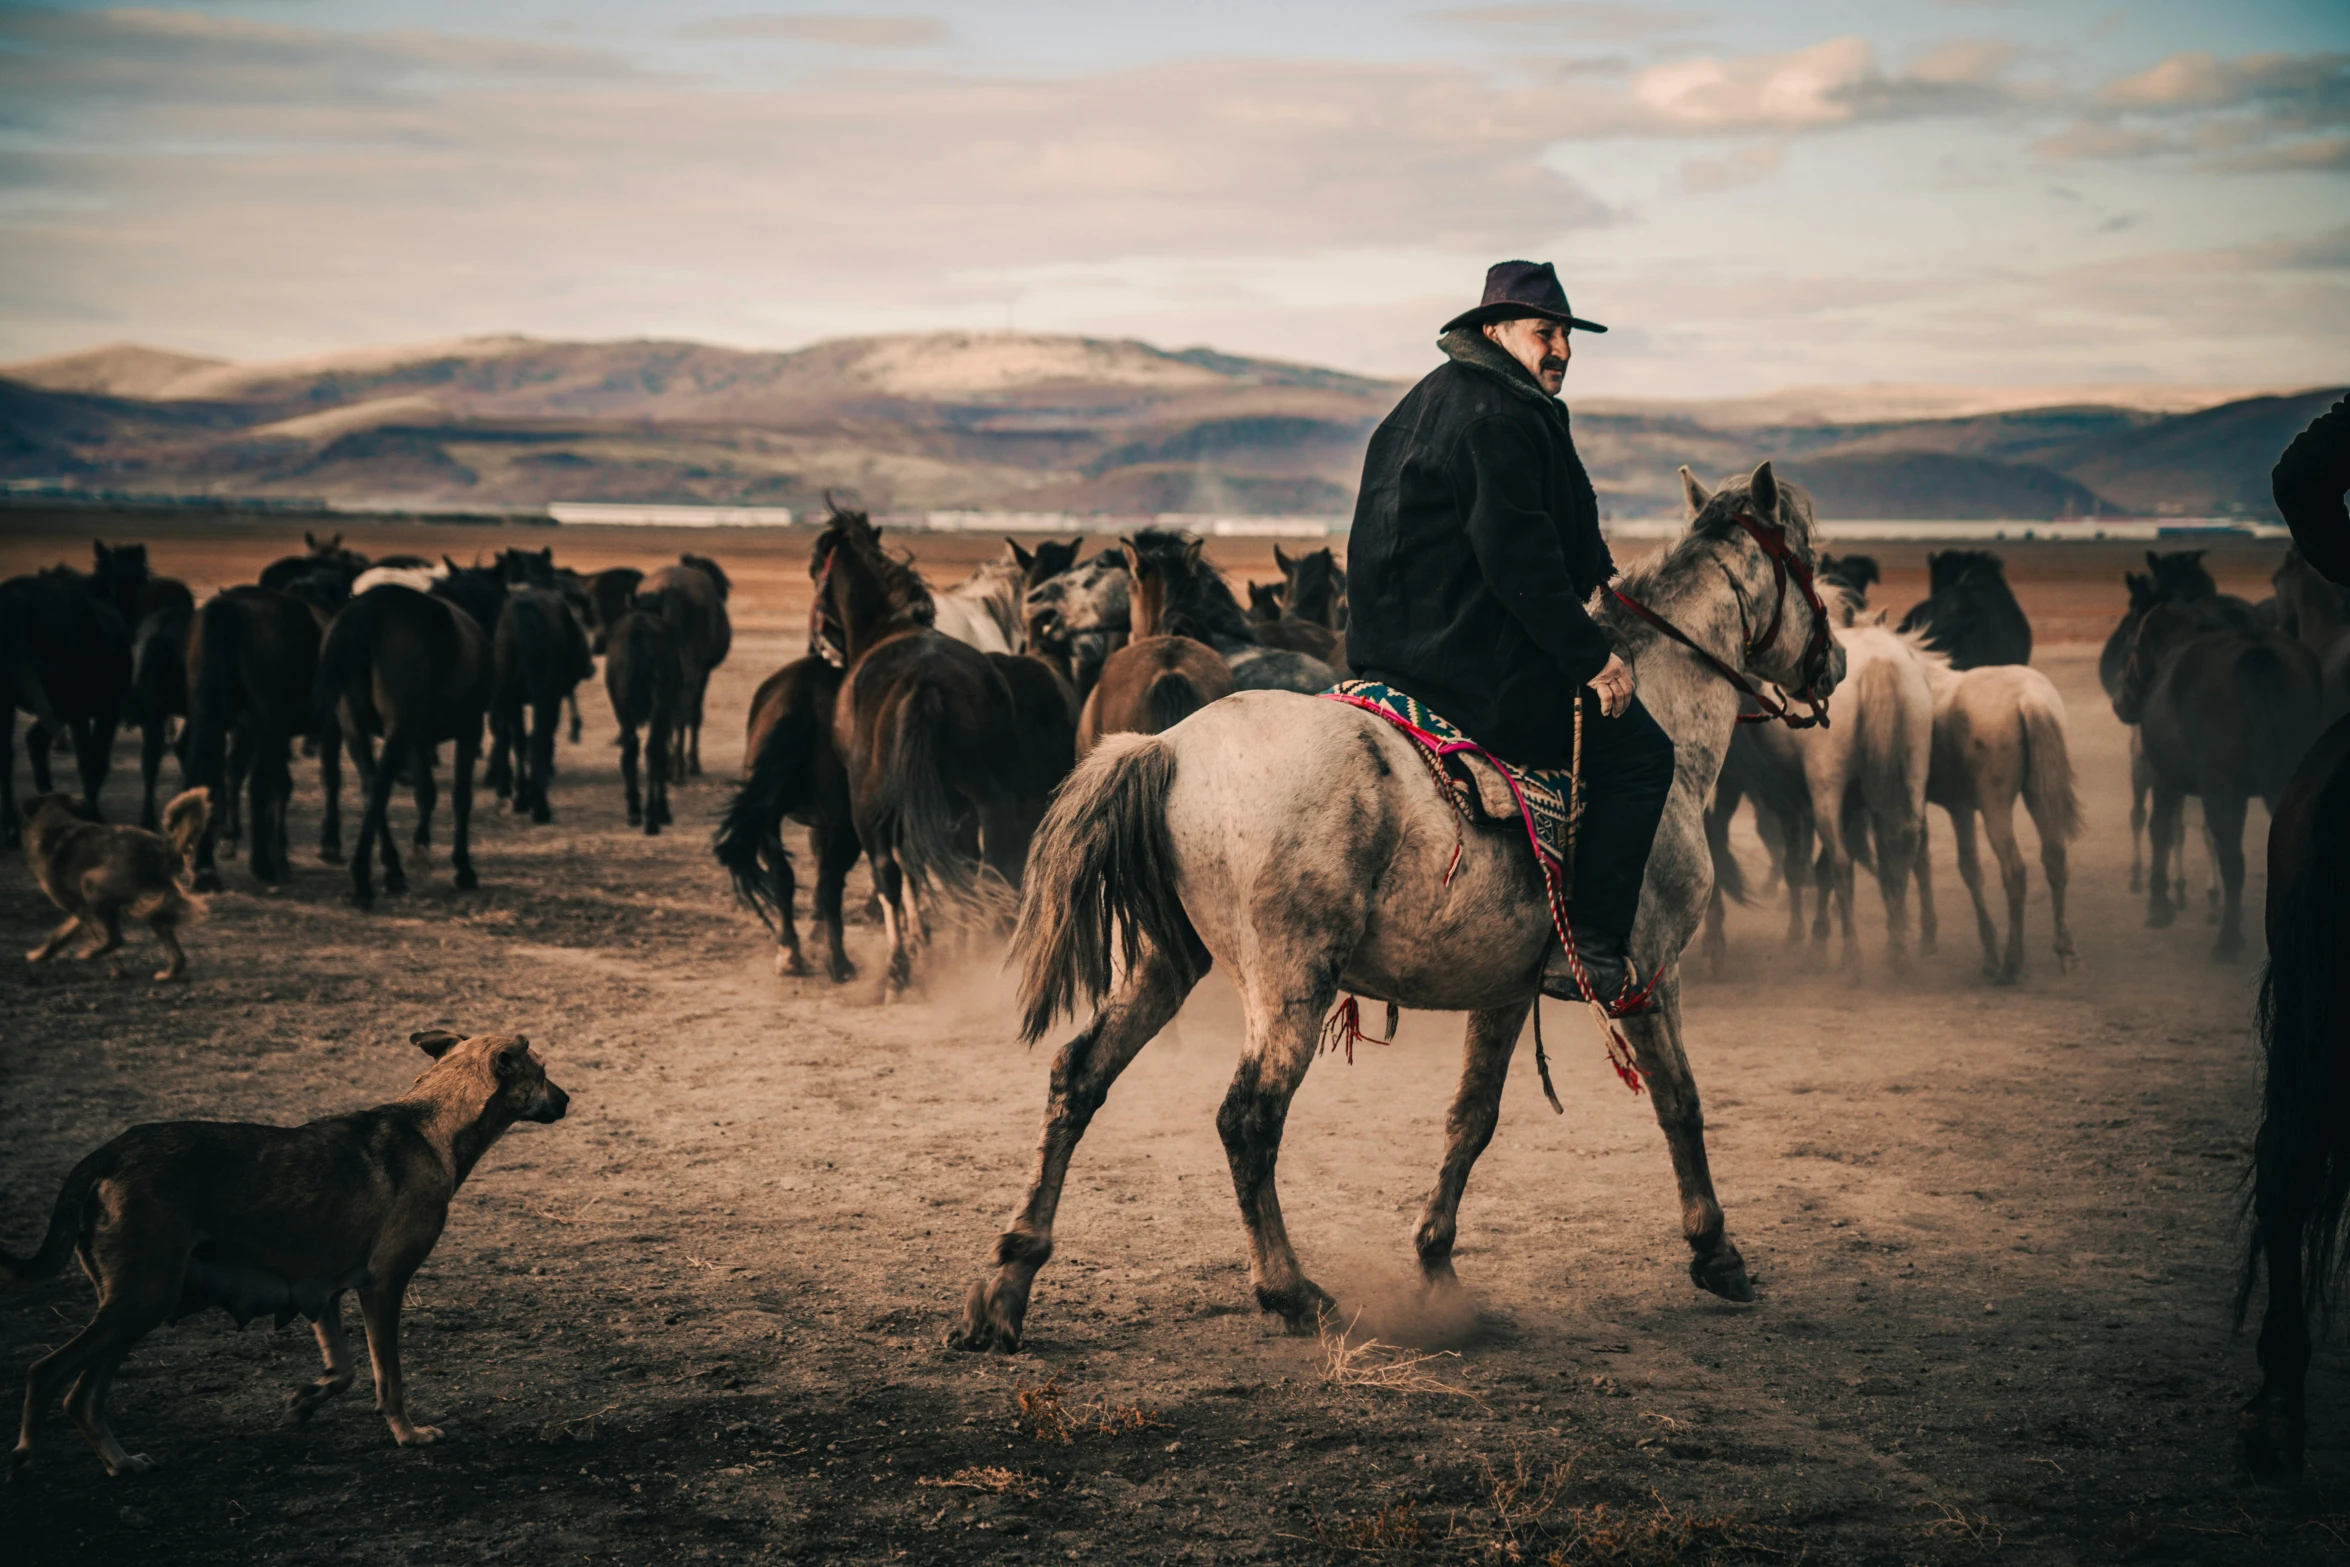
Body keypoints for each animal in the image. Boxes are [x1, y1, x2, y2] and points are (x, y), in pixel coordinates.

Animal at [2, 1033, 568, 1475]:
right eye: (543, 1072)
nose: (568, 1099)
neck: (432, 1123)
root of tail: (107, 1152)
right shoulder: (383, 1286)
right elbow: (389, 1377)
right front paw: (408, 1436)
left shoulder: (321, 1292)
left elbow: (344, 1370)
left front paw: (304, 1403)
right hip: (142, 1300)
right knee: (46, 1373)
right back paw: (27, 1452)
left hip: (137, 1305)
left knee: (82, 1398)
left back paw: (121, 1463)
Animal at [23, 784, 209, 982]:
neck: (52, 821)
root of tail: (160, 849)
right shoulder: (82, 908)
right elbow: (61, 933)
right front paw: (40, 954)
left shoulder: (80, 907)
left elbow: (93, 936)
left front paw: (117, 969)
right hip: (151, 904)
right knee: (176, 953)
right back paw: (168, 973)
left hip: (91, 884)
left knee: (116, 938)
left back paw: (89, 954)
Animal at [183, 587, 333, 888]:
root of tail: (228, 606)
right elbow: (326, 779)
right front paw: (327, 844)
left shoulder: (255, 731)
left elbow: (274, 783)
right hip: (267, 727)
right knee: (258, 785)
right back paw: (261, 865)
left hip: (215, 721)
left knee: (210, 775)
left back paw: (205, 868)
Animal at [944, 460, 1842, 1353]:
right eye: (1808, 556)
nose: (1831, 665)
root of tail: (1168, 748)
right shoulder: (1649, 971)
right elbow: (1680, 1100)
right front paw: (1716, 1250)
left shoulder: (1507, 988)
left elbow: (1471, 1117)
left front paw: (1436, 1262)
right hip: (1289, 982)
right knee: (1247, 1117)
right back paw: (1289, 1290)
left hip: (1168, 959)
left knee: (1079, 1074)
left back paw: (1006, 1283)